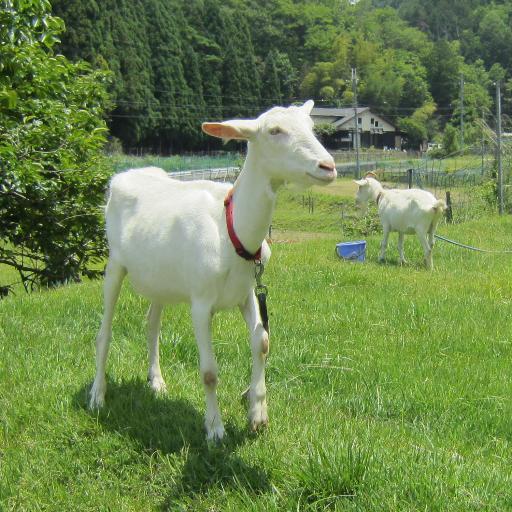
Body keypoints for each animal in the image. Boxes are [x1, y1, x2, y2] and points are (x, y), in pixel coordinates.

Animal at [89, 100, 336, 440]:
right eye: (274, 131)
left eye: (311, 127)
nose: (328, 166)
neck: (230, 230)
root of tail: (124, 175)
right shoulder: (201, 302)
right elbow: (208, 372)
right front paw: (215, 430)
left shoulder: (247, 293)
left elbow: (262, 343)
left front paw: (257, 414)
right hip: (115, 262)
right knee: (105, 332)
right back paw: (97, 396)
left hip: (159, 278)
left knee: (152, 324)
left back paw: (157, 382)